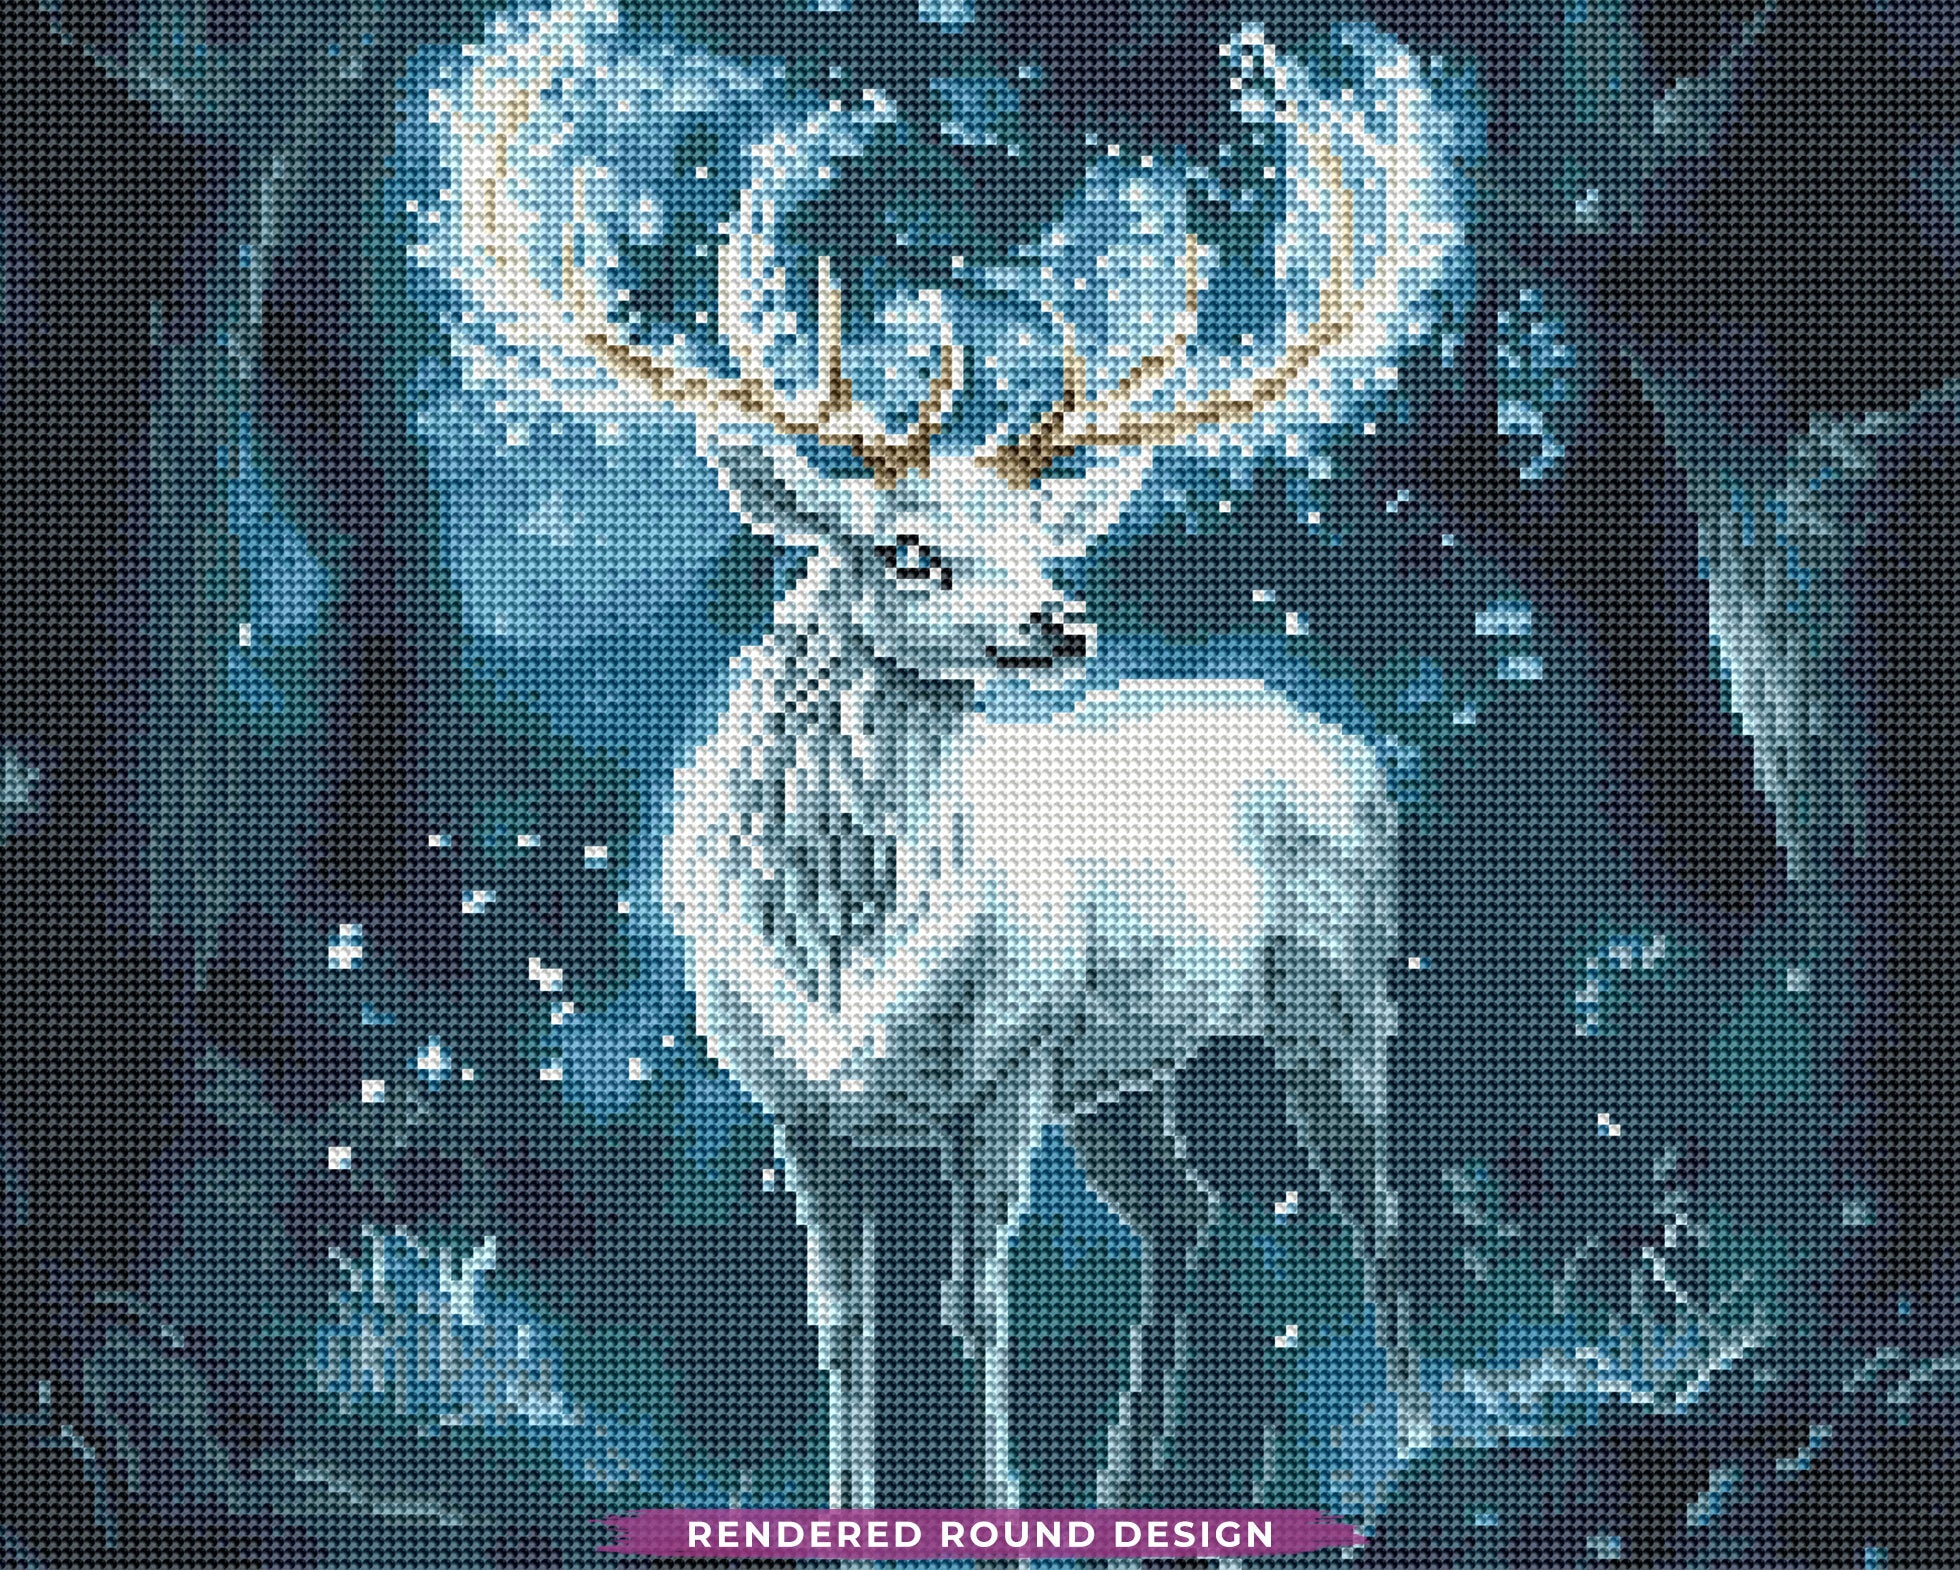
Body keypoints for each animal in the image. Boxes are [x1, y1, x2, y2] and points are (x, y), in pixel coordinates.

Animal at [451, 38, 1431, 1515]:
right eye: (907, 546)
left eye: (1036, 533)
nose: (1061, 620)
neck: (846, 941)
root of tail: (1331, 734)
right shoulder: (800, 1101)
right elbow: (842, 1316)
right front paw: (854, 1507)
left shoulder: (1007, 1066)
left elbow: (976, 1304)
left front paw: (1000, 1507)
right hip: (1124, 1066)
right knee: (1189, 1210)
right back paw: (1126, 1484)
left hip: (1333, 985)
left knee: (1374, 1203)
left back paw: (1425, 1434)